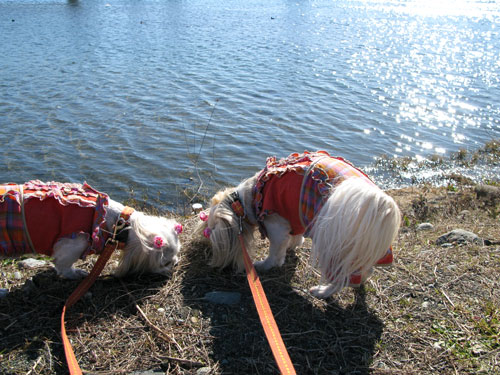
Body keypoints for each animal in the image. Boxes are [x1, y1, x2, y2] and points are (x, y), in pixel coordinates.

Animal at [0, 181, 182, 280]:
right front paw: (75, 273)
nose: (175, 263)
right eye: (165, 263)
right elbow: (63, 265)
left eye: (177, 255)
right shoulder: (74, 243)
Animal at [197, 151, 400, 302]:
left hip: (335, 247)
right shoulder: (296, 216)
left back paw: (322, 291)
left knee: (343, 279)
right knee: (365, 271)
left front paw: (263, 265)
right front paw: (294, 244)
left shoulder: (276, 227)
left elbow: (275, 255)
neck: (251, 196)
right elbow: (295, 236)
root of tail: (381, 204)